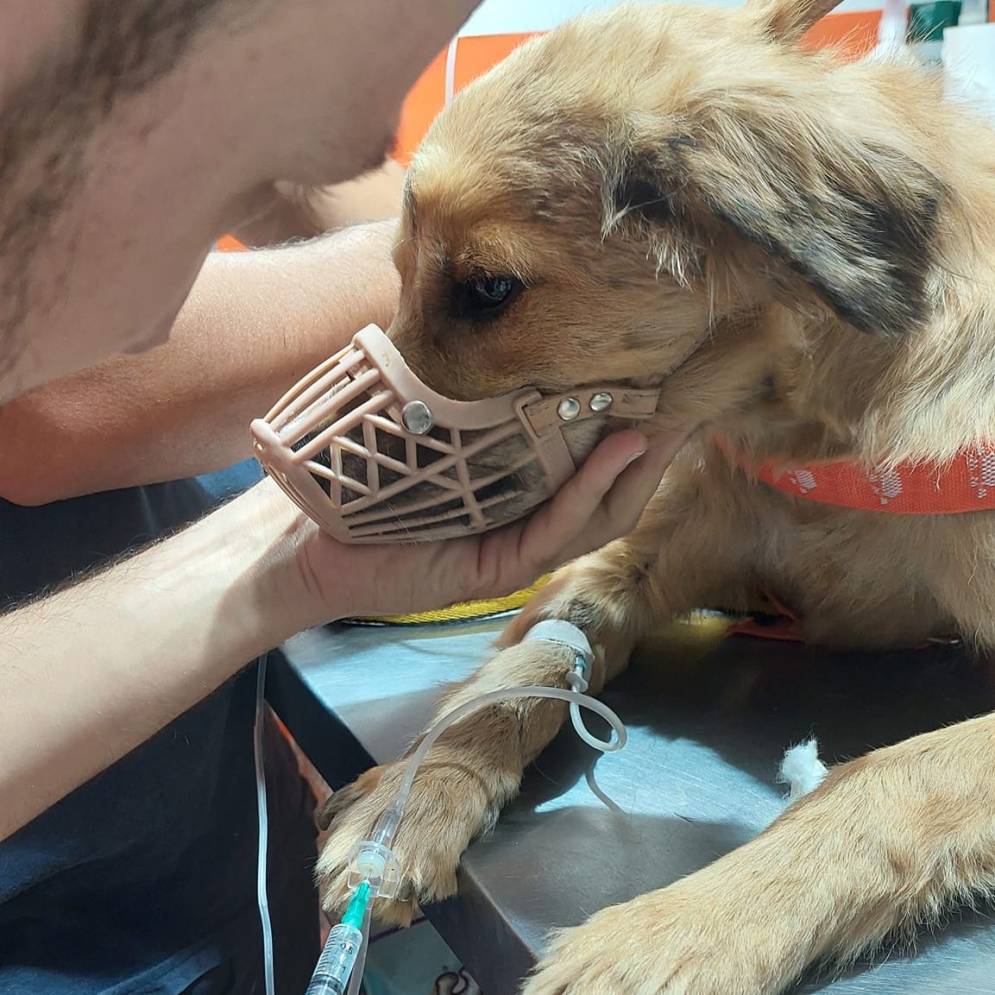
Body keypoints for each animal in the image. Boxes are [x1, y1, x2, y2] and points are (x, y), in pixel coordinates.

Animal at [316, 3, 995, 992]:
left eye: (488, 289)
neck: (811, 428)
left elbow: (889, 778)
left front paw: (685, 929)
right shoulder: (637, 548)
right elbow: (526, 665)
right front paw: (418, 795)